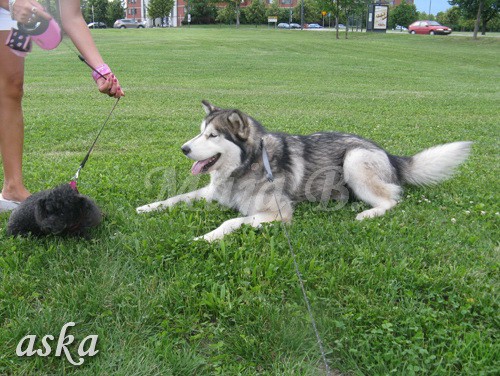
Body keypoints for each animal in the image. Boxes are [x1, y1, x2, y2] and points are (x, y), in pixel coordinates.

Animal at [138, 100, 472, 241]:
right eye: (199, 133)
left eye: (212, 136)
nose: (183, 148)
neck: (247, 166)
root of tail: (387, 153)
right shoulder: (211, 192)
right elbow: (176, 198)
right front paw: (148, 206)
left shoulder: (278, 213)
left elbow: (231, 221)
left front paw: (207, 237)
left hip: (354, 160)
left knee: (393, 198)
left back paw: (367, 213)